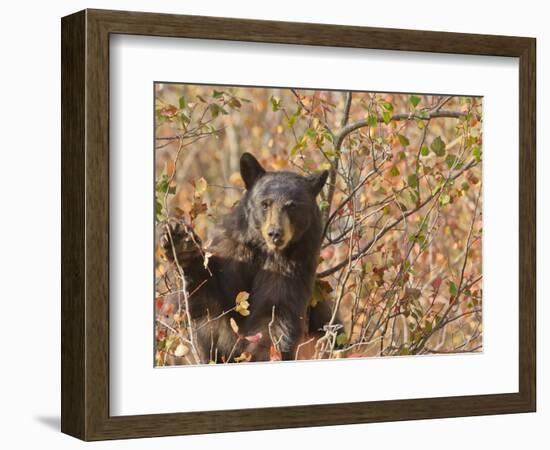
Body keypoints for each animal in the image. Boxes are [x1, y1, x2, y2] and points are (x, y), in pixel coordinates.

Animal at [160, 151, 332, 362]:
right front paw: (181, 242)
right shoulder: (233, 251)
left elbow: (275, 312)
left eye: (291, 206)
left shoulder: (293, 265)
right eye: (265, 203)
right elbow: (210, 304)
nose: (275, 233)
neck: (264, 250)